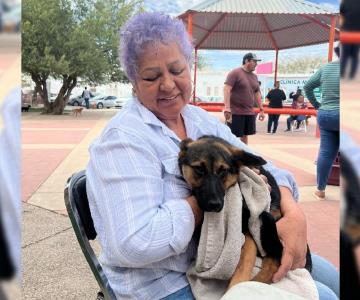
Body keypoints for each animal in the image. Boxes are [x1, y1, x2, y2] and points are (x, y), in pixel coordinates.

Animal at [178, 135, 312, 288]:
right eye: (199, 169)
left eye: (223, 171)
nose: (215, 205)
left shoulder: (249, 232)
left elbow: (245, 262)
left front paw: (235, 287)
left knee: (275, 257)